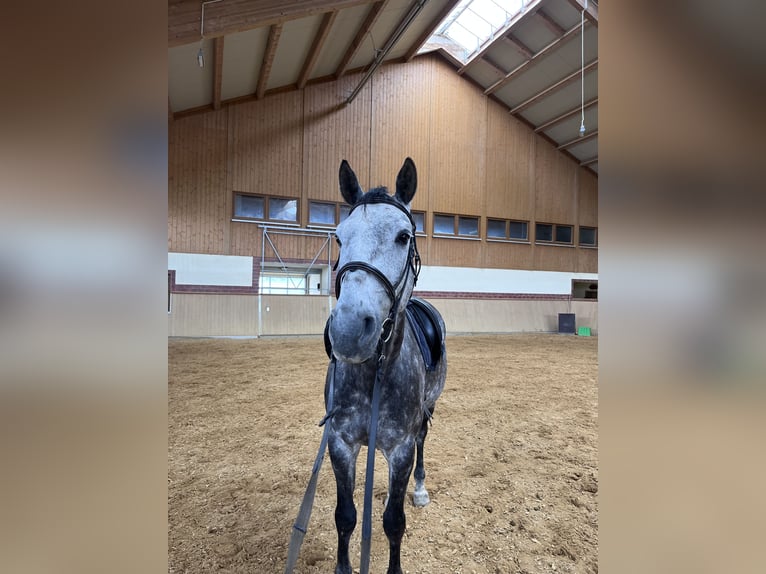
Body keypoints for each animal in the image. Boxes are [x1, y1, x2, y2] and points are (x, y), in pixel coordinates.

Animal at [324, 157, 447, 574]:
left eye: (403, 236)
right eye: (339, 237)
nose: (347, 331)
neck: (373, 372)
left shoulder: (401, 450)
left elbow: (394, 522)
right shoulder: (340, 442)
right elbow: (344, 516)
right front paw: (344, 566)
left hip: (427, 410)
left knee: (425, 441)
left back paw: (421, 489)